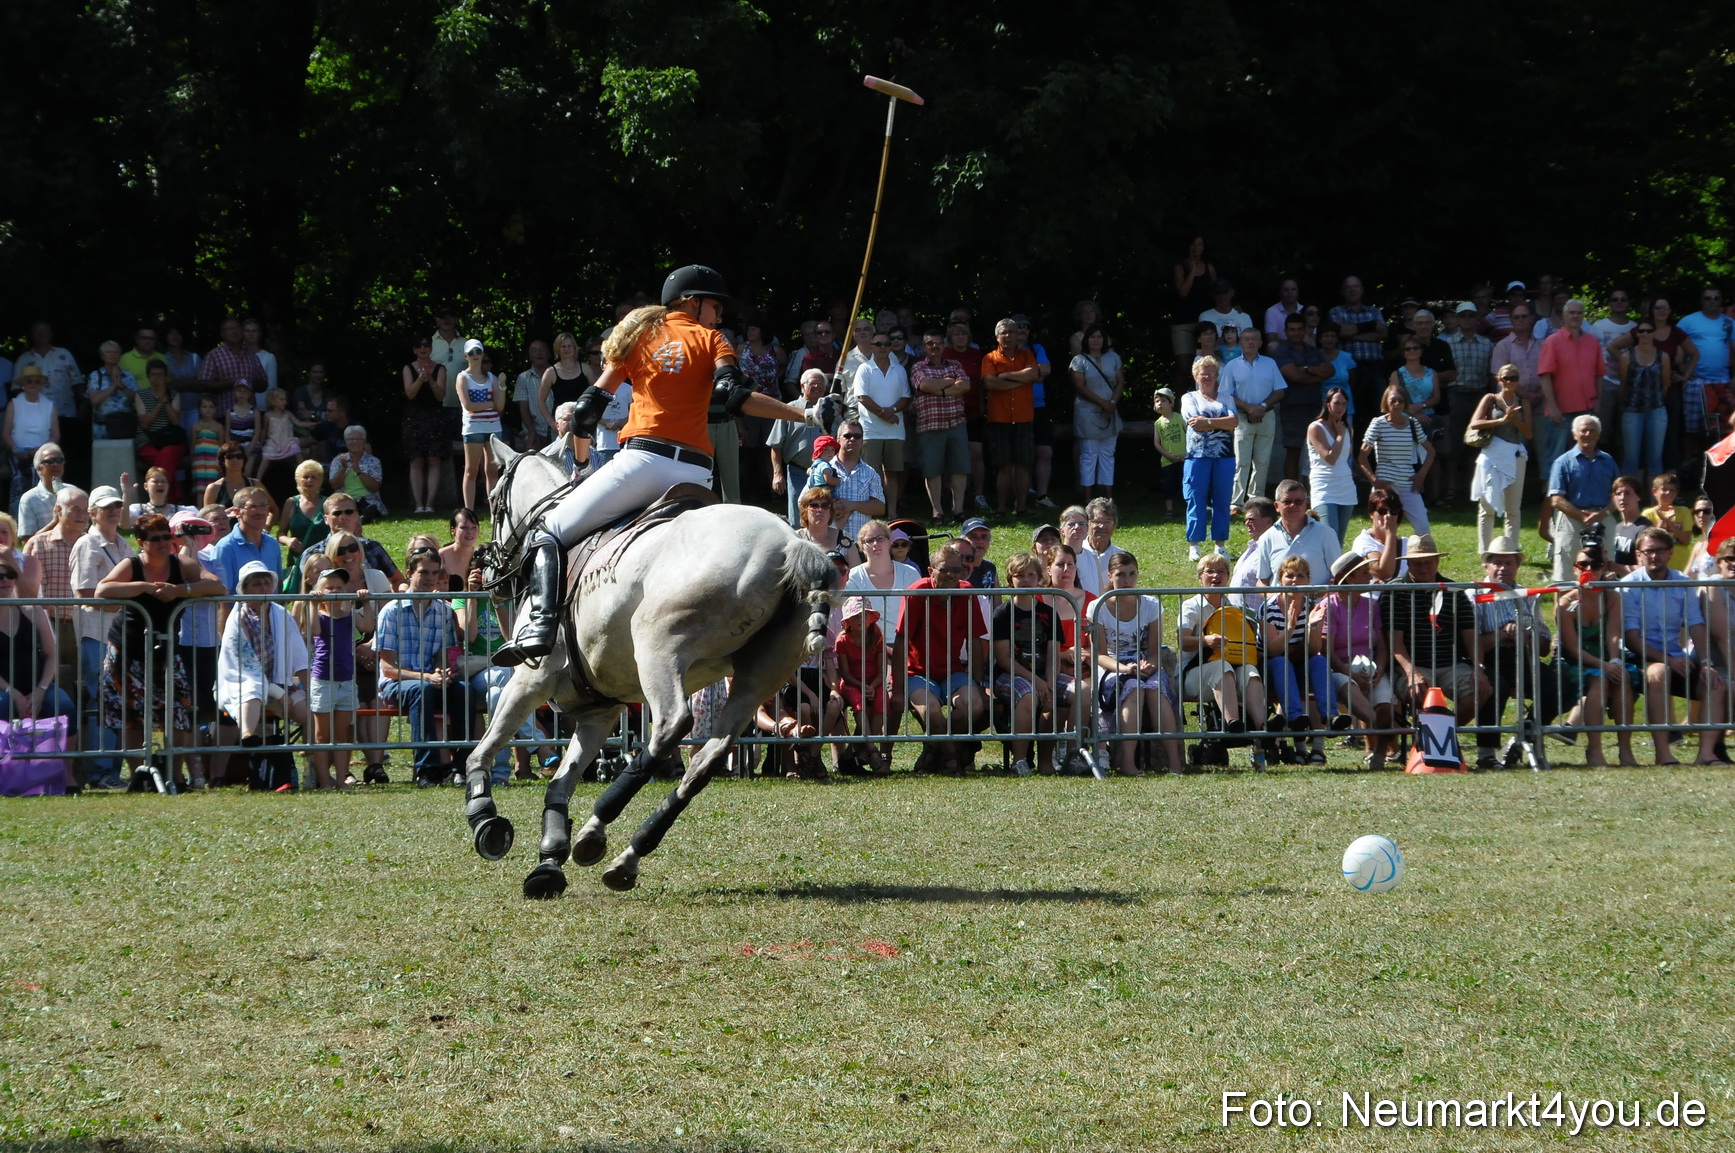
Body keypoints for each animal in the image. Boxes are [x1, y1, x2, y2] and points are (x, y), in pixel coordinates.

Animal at [459, 437, 835, 897]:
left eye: (494, 500)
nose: (487, 568)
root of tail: (789, 543)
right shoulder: (597, 712)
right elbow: (560, 783)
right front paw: (549, 862)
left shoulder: (531, 680)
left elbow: (482, 751)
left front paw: (486, 819)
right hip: (757, 677)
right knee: (706, 759)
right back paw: (626, 855)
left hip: (658, 644)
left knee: (671, 727)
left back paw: (596, 828)